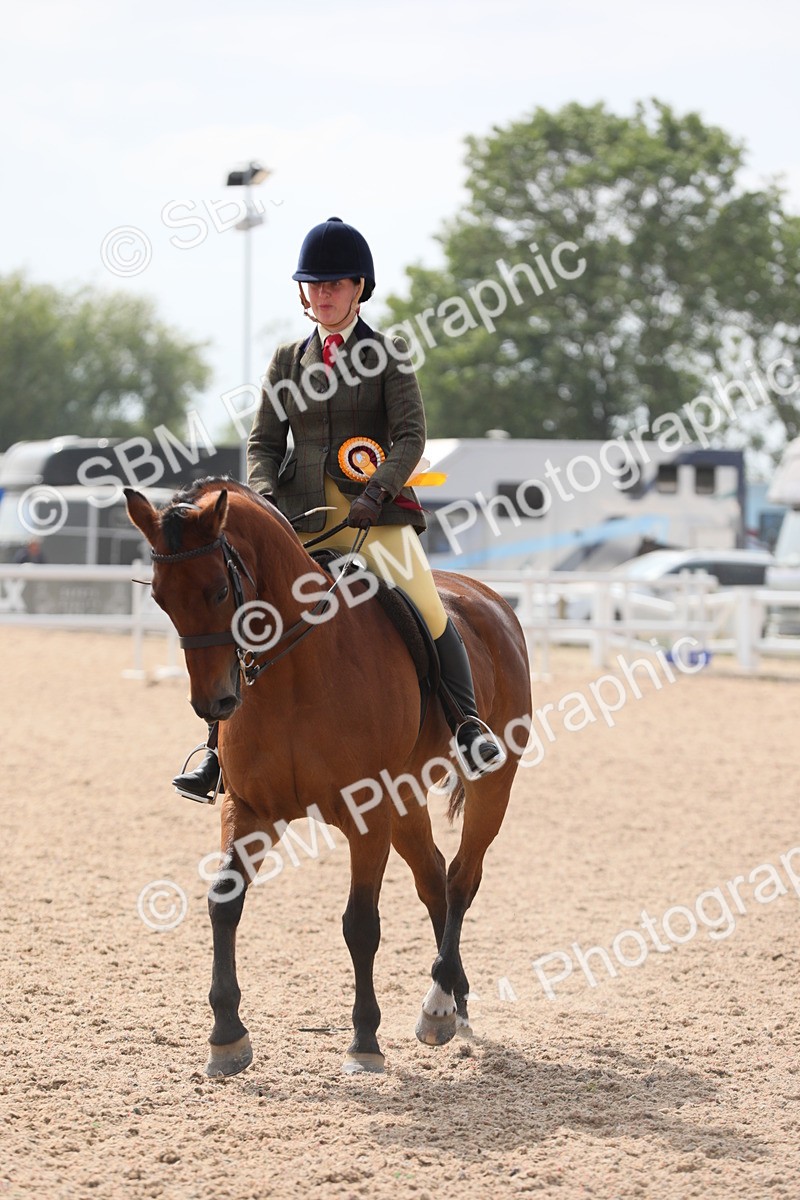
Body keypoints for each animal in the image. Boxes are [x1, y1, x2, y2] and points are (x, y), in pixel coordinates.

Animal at [125, 478, 532, 1076]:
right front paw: (227, 1036)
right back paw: (453, 1004)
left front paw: (364, 1040)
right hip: (407, 799)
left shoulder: (368, 814)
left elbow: (360, 923)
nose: (215, 704)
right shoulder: (251, 809)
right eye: (160, 599)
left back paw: (436, 1005)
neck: (294, 672)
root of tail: (491, 600)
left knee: (461, 879)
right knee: (433, 878)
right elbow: (224, 901)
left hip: (490, 784)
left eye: (218, 592)